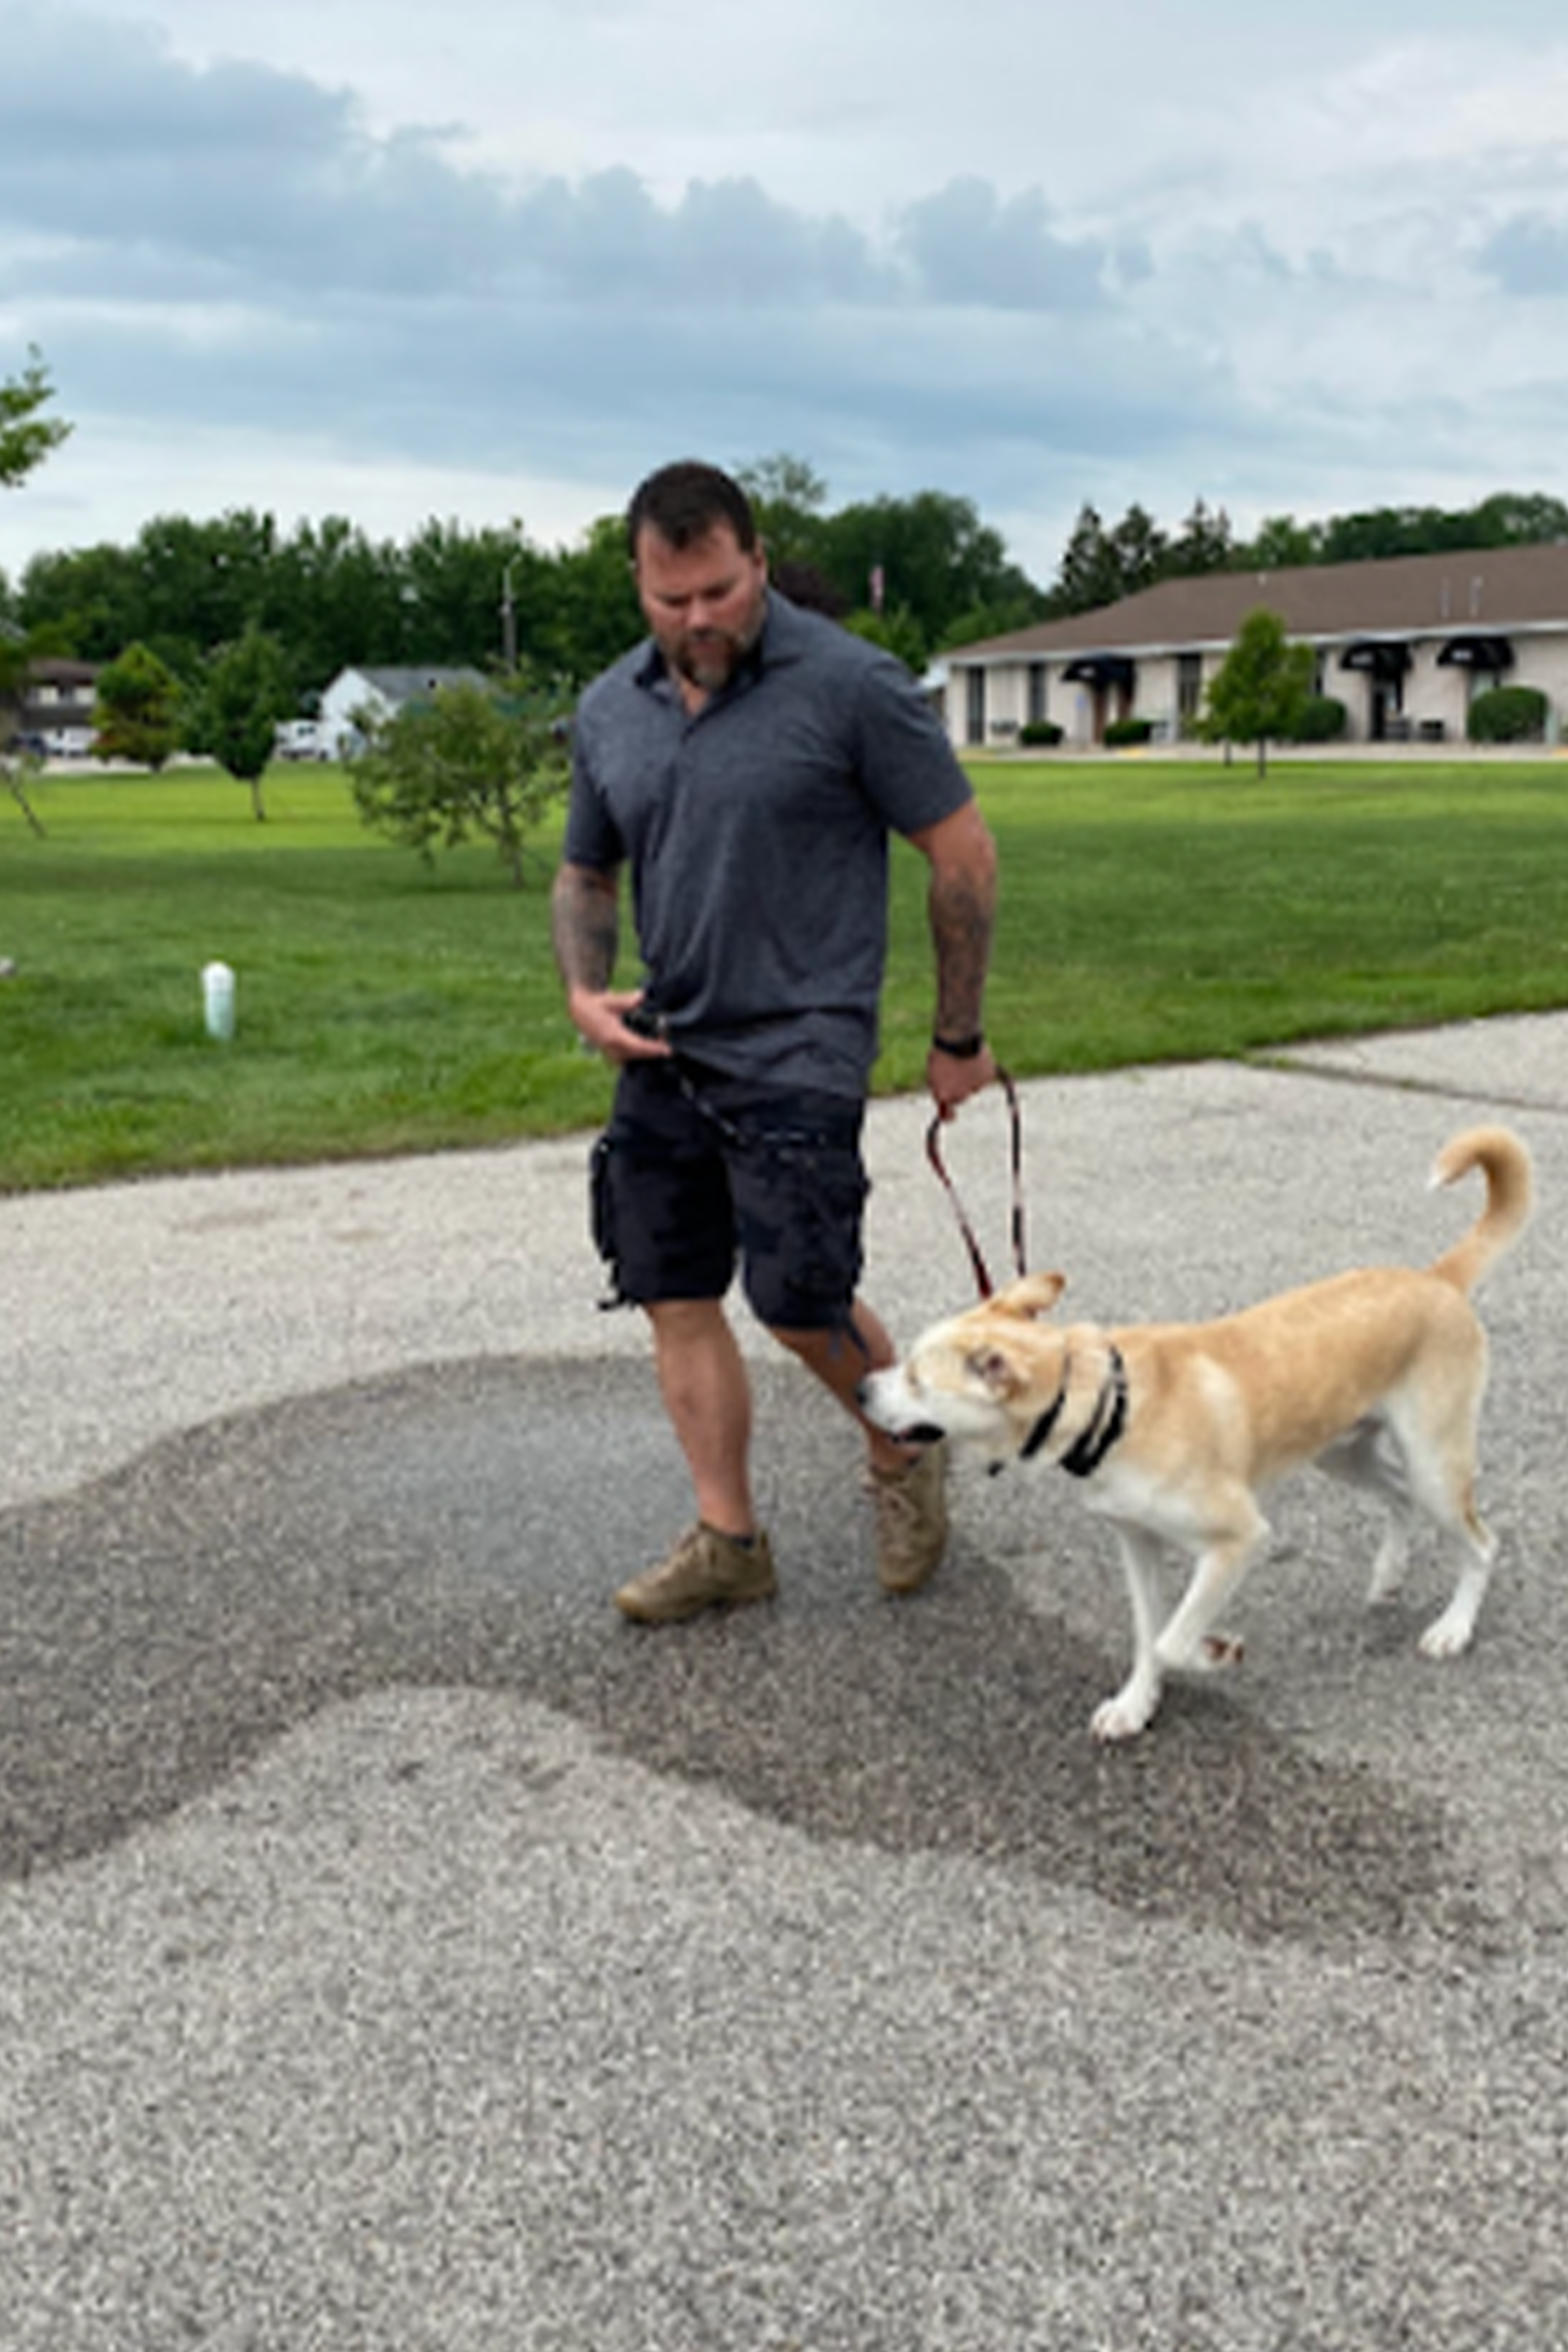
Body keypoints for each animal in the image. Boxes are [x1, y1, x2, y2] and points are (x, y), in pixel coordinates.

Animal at [860, 1129, 1533, 1740]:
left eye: (916, 1376)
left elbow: (1171, 1638)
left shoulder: (1240, 1539)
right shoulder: (1136, 1542)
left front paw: (1213, 1651)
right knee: (1397, 1495)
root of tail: (1436, 1278)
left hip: (1434, 1460)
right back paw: (1389, 1572)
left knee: (1481, 1542)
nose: (864, 1389)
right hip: (1345, 1452)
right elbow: (1145, 1633)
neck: (1112, 1410)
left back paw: (1454, 1627)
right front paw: (1136, 1704)